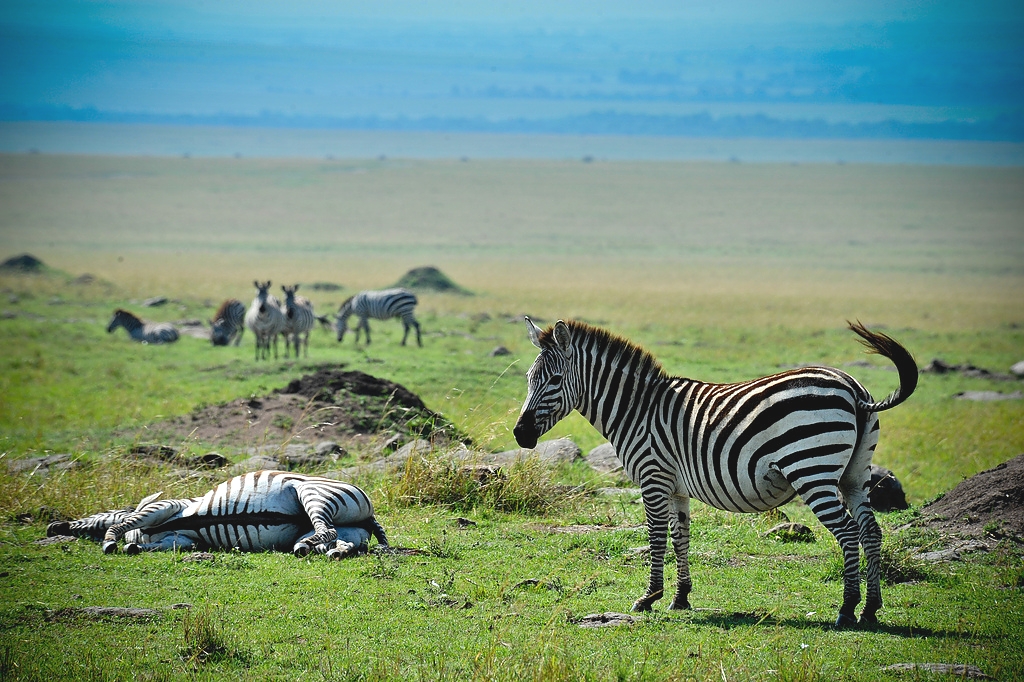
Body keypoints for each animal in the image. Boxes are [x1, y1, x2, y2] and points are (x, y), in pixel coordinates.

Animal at [44, 466, 389, 557]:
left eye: (89, 516)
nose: (53, 527)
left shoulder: (166, 506)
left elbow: (123, 522)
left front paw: (111, 540)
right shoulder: (182, 540)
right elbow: (160, 544)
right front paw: (133, 547)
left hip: (312, 493)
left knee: (324, 529)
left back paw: (308, 546)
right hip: (350, 530)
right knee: (340, 541)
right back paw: (327, 551)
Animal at [516, 319, 917, 626]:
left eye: (553, 381)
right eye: (529, 379)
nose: (520, 435)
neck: (636, 409)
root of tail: (852, 387)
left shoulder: (653, 477)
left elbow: (656, 537)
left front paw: (649, 597)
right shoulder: (675, 487)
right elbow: (680, 537)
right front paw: (680, 598)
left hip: (812, 470)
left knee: (848, 533)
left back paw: (847, 610)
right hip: (855, 475)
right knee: (870, 531)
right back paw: (870, 609)